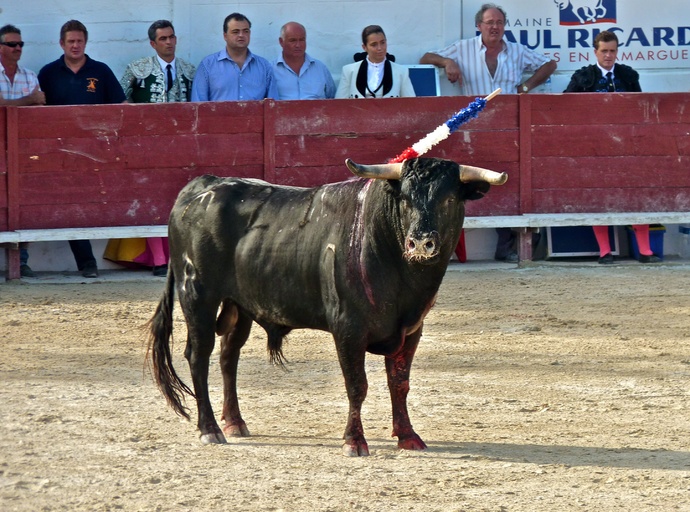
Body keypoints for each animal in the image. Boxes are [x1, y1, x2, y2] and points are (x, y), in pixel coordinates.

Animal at [147, 157, 507, 456]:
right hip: (197, 295)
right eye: (404, 199)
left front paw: (408, 436)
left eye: (449, 199)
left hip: (240, 305)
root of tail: (202, 185)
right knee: (199, 356)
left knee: (227, 356)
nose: (420, 243)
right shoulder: (348, 328)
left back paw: (235, 423)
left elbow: (400, 384)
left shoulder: (411, 329)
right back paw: (209, 429)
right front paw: (354, 442)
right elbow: (357, 385)